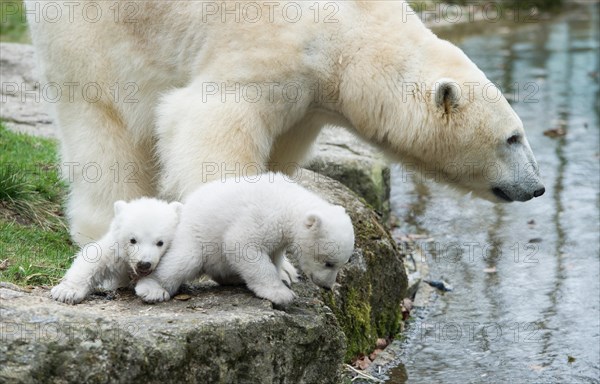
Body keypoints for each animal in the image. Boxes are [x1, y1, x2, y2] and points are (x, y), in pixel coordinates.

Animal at [27, 0, 544, 243]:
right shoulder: (272, 42)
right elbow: (208, 120)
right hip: (95, 30)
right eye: (513, 138)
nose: (537, 187)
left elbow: (281, 147)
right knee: (103, 120)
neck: (352, 34)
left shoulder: (311, 97)